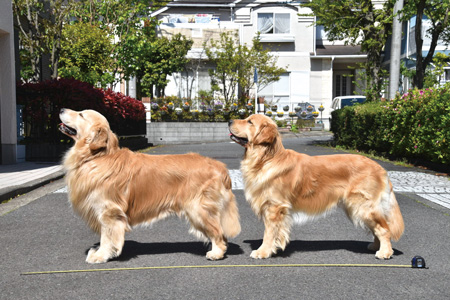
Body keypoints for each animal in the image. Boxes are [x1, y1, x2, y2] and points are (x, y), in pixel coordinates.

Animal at [60, 109, 243, 264]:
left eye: (81, 114)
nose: (61, 109)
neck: (97, 156)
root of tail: (219, 166)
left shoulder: (109, 212)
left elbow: (107, 237)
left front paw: (100, 255)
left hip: (198, 209)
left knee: (218, 233)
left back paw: (216, 253)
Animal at [229, 113, 404, 258]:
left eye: (249, 121)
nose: (229, 121)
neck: (267, 159)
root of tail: (381, 168)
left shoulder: (275, 207)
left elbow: (269, 233)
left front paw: (263, 251)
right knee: (379, 228)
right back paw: (375, 246)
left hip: (362, 206)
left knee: (384, 229)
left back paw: (385, 252)